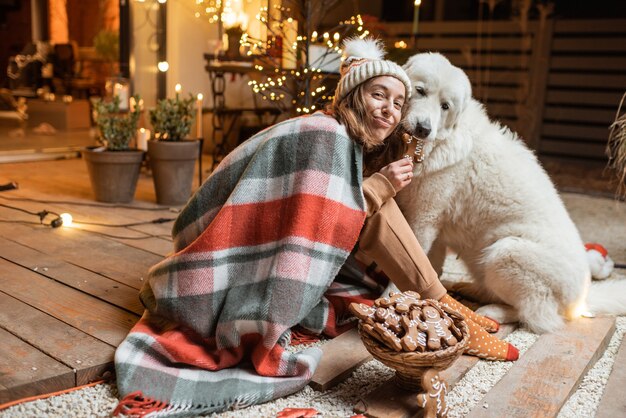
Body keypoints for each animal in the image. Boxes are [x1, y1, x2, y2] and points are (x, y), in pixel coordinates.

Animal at [394, 52, 624, 334]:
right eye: (420, 91)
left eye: (445, 106)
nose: (424, 129)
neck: (440, 140)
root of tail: (580, 300)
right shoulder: (432, 226)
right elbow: (429, 268)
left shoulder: (423, 219)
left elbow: (410, 263)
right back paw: (470, 289)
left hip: (505, 253)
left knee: (534, 315)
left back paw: (491, 311)